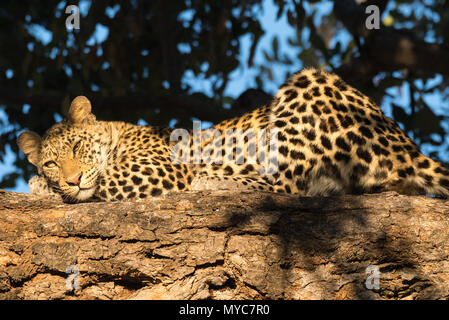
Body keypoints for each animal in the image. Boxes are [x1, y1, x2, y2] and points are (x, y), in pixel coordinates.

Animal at [17, 68, 448, 202]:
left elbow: (106, 180)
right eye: (53, 161)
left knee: (286, 187)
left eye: (77, 146)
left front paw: (41, 187)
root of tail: (405, 144)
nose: (71, 179)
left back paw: (211, 182)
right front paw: (45, 183)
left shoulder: (163, 166)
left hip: (311, 81)